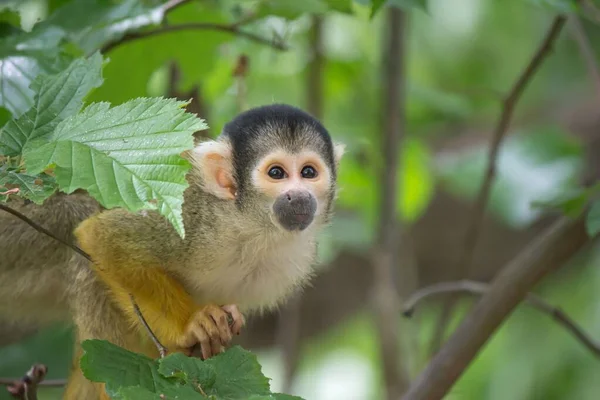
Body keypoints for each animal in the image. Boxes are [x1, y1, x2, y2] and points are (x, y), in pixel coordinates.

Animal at [0, 104, 342, 400]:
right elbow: (102, 236)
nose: (298, 196)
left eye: (308, 172)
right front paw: (192, 324)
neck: (252, 228)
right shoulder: (192, 218)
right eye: (276, 173)